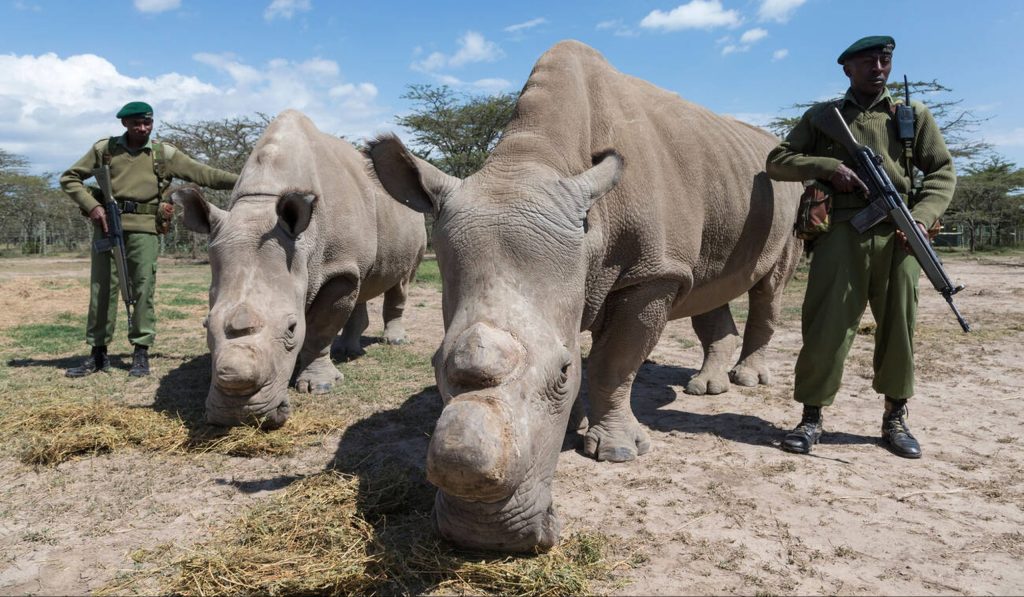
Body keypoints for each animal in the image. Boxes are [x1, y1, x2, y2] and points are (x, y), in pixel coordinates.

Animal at [175, 110, 426, 429]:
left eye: (292, 328)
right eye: (206, 325)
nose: (241, 415)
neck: (262, 204)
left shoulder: (336, 268)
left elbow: (321, 326)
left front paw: (321, 387)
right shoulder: (333, 262)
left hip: (414, 221)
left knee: (402, 280)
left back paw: (395, 342)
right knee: (362, 282)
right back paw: (349, 351)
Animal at [368, 40, 802, 552]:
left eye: (561, 373)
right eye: (435, 364)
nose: (486, 537)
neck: (532, 160)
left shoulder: (652, 274)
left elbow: (616, 362)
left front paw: (617, 453)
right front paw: (571, 426)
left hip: (787, 191)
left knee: (770, 286)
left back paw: (747, 381)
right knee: (709, 287)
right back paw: (705, 388)